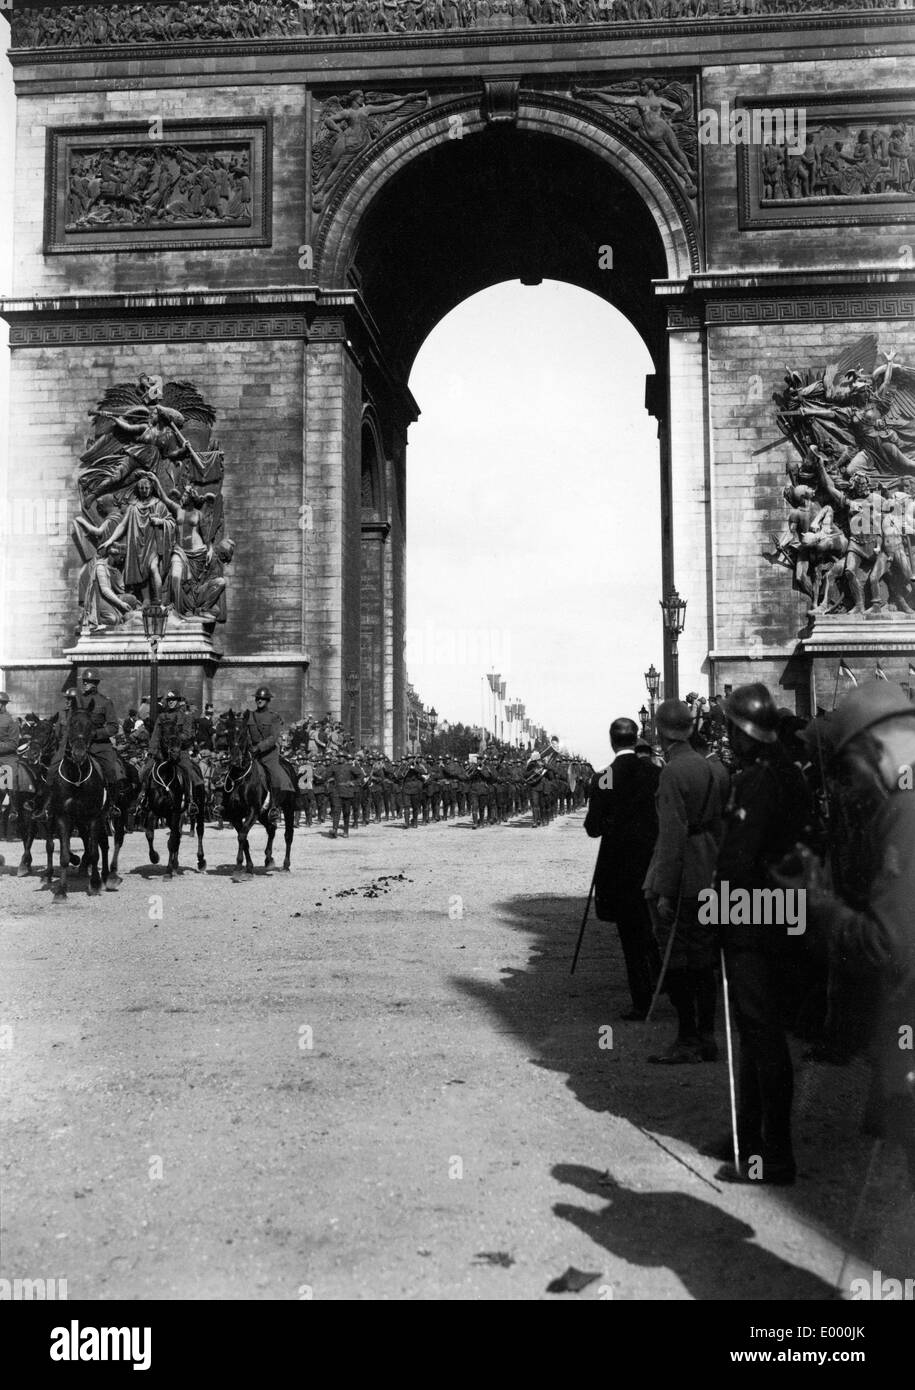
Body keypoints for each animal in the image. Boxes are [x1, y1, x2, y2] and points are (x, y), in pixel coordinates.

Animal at [141, 722, 205, 872]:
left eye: (180, 740)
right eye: (165, 739)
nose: (175, 756)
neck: (165, 778)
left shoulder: (175, 811)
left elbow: (172, 841)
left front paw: (169, 870)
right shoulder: (153, 810)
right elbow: (150, 834)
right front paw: (155, 857)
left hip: (198, 809)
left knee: (198, 831)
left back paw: (200, 861)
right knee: (177, 835)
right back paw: (175, 863)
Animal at [219, 711, 293, 872]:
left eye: (243, 734)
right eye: (228, 733)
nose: (235, 761)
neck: (240, 778)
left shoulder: (253, 811)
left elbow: (242, 836)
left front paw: (241, 865)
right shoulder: (235, 815)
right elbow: (243, 837)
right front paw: (246, 865)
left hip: (288, 808)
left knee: (288, 835)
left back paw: (286, 864)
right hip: (264, 814)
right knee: (271, 829)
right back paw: (268, 859)